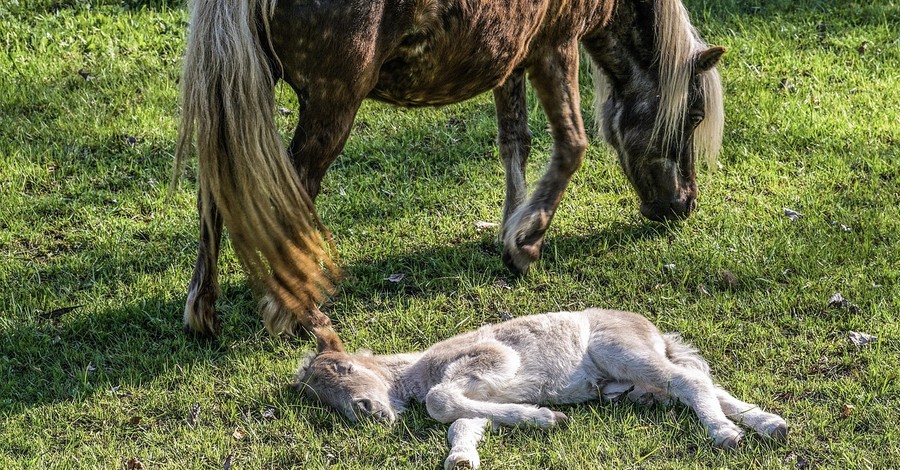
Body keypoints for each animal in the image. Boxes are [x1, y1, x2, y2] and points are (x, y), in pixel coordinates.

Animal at [174, 0, 724, 348]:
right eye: (694, 114)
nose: (683, 204)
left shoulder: (515, 57)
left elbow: (514, 141)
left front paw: (512, 227)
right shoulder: (555, 46)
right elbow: (571, 146)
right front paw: (526, 243)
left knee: (216, 194)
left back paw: (204, 311)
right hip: (331, 105)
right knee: (288, 200)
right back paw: (305, 316)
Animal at [298, 308, 788, 470]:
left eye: (343, 366)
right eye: (319, 398)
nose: (366, 410)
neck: (419, 368)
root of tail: (651, 329)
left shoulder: (490, 358)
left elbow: (441, 402)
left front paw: (549, 417)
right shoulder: (483, 399)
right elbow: (463, 424)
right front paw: (463, 459)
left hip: (619, 350)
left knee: (689, 379)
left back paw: (725, 435)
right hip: (637, 374)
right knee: (703, 385)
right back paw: (770, 424)